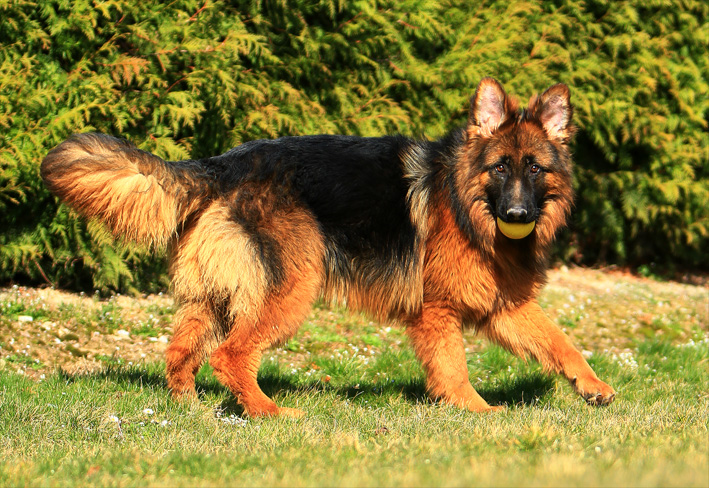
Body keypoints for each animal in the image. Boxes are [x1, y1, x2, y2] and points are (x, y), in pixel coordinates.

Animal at [41, 78, 615, 416]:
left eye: (534, 169)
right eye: (499, 168)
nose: (517, 216)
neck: (463, 198)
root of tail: (220, 165)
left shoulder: (505, 306)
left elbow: (561, 343)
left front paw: (592, 386)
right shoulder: (438, 312)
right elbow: (454, 368)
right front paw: (476, 411)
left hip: (216, 298)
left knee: (182, 352)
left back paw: (193, 411)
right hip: (291, 291)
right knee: (230, 355)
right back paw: (268, 413)